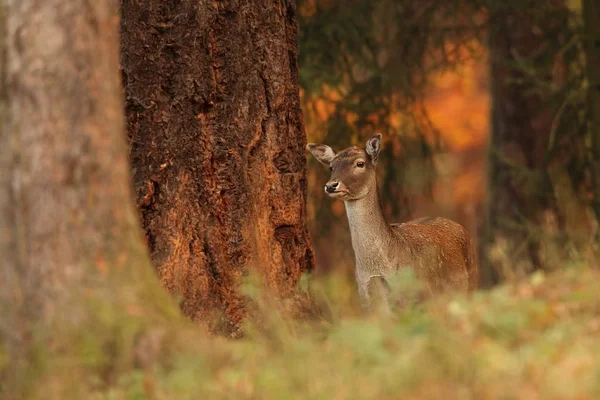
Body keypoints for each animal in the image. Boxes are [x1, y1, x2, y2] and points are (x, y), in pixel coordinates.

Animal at [308, 133, 480, 314]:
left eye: (360, 163)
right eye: (331, 167)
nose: (331, 186)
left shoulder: (417, 297)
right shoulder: (365, 299)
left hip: (470, 283)